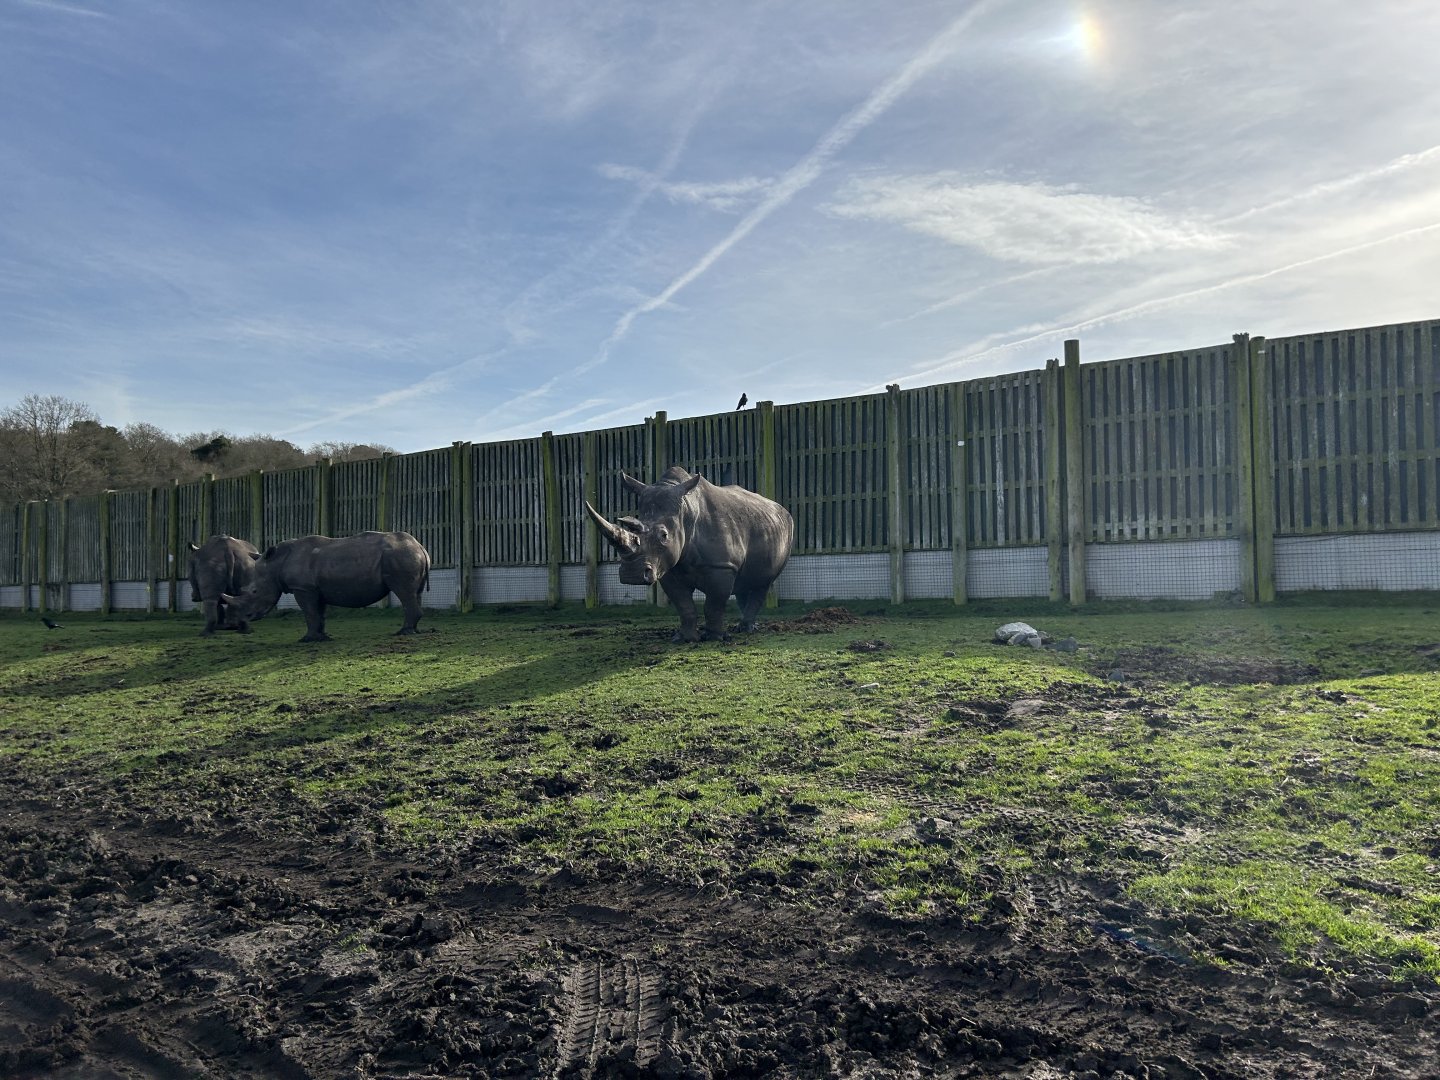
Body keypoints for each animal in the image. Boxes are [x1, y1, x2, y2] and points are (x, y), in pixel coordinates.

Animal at [221, 531, 431, 642]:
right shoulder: (314, 589)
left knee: (404, 592)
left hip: (400, 556)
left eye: (254, 592)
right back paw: (413, 630)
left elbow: (309, 613)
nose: (236, 622)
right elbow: (318, 613)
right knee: (415, 593)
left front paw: (307, 639)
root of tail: (420, 546)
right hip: (407, 555)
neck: (275, 564)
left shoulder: (303, 588)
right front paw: (322, 637)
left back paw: (403, 632)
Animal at [585, 467, 794, 642]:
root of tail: (782, 509)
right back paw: (743, 627)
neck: (685, 513)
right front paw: (685, 639)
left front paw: (714, 638)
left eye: (664, 536)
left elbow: (713, 605)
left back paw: (746, 629)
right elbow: (684, 606)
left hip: (786, 532)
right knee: (745, 581)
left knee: (763, 582)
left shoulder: (722, 566)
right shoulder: (667, 568)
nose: (632, 575)